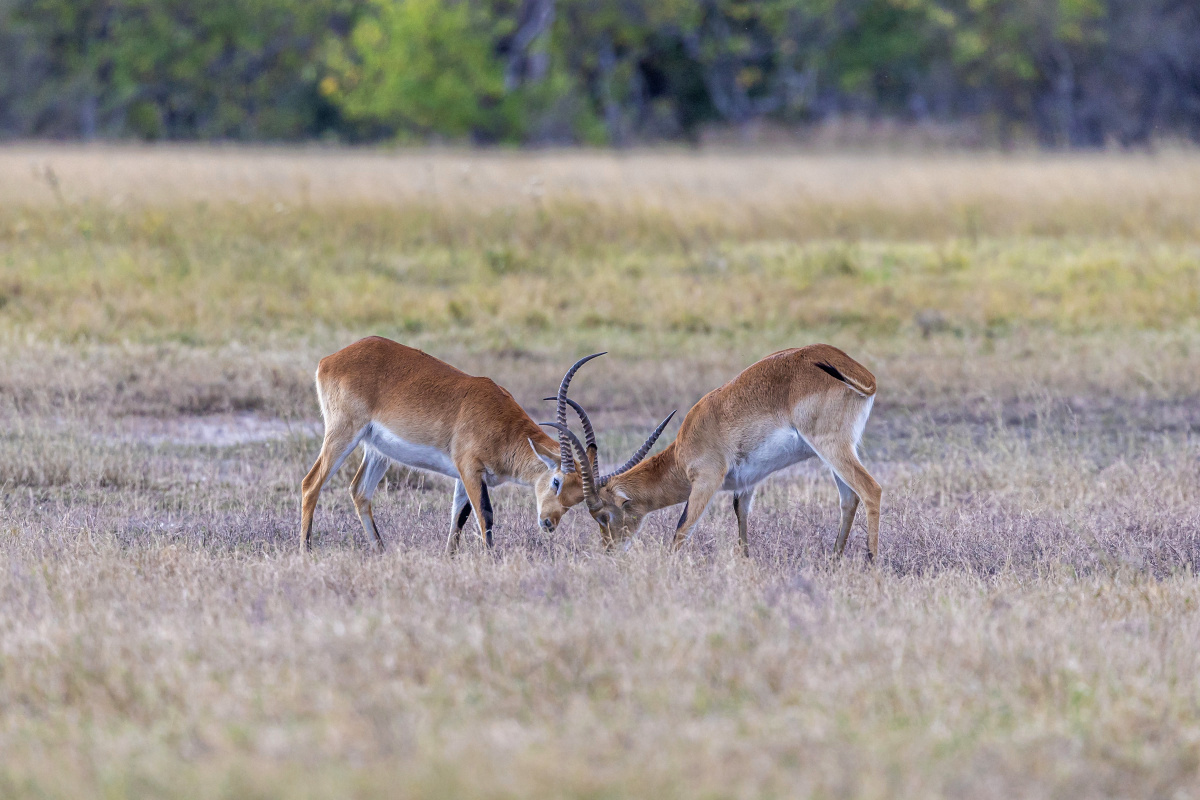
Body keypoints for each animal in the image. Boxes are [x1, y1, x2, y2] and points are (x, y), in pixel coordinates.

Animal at [296, 335, 604, 554]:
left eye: (577, 498)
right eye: (556, 481)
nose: (549, 523)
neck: (500, 423)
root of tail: (329, 360)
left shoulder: (464, 475)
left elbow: (458, 518)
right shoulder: (470, 469)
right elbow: (485, 516)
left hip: (377, 451)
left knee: (359, 491)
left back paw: (381, 552)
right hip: (343, 434)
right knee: (311, 483)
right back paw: (306, 552)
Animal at [547, 343, 883, 556]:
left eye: (603, 516)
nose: (610, 551)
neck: (684, 449)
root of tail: (860, 373)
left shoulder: (706, 480)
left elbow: (681, 531)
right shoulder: (746, 484)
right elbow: (741, 523)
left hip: (830, 445)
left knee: (871, 490)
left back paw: (871, 566)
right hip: (836, 451)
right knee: (849, 498)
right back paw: (834, 562)